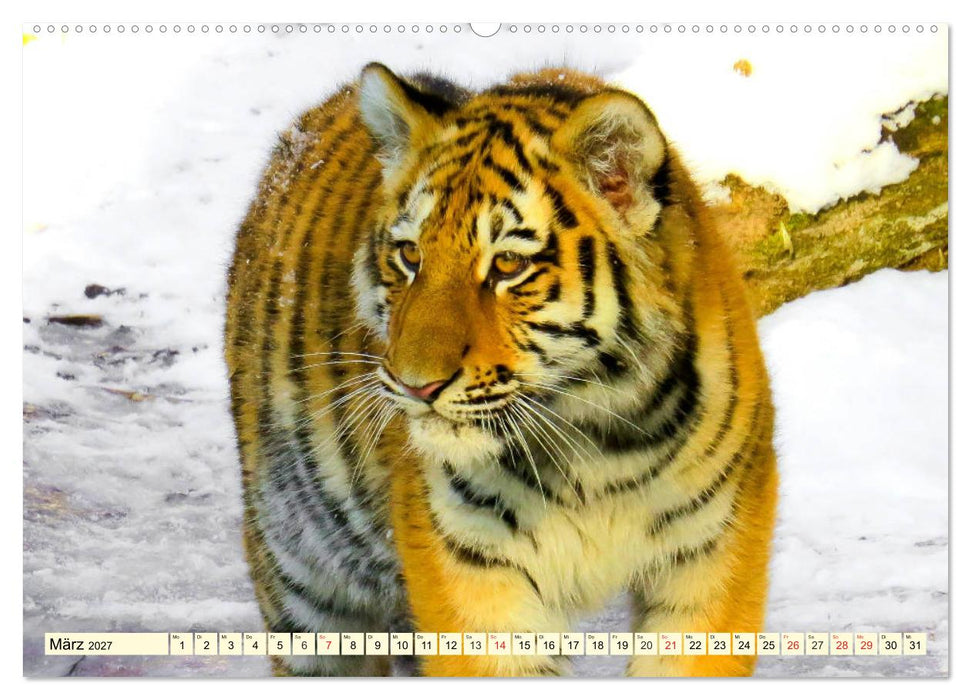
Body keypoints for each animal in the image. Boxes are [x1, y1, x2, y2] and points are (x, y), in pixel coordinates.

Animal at [224, 62, 778, 677]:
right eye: (410, 256)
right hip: (306, 576)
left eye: (508, 264)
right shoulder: (472, 568)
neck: (596, 443)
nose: (416, 384)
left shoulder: (710, 553)